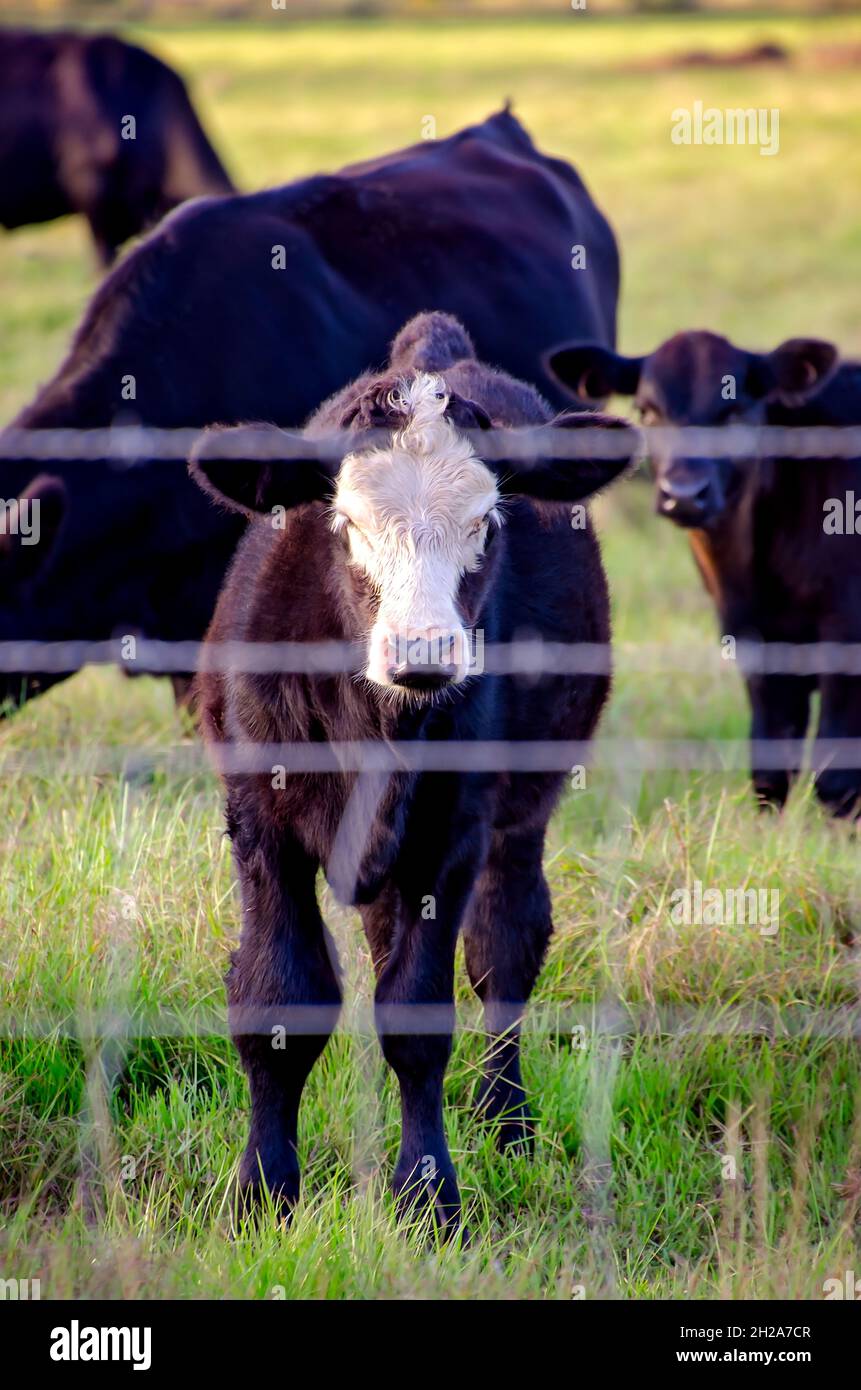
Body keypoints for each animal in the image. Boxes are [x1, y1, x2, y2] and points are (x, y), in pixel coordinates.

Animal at [190, 309, 639, 1223]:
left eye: (486, 523)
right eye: (346, 524)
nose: (423, 654)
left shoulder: (452, 830)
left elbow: (418, 1012)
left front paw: (428, 1195)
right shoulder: (258, 812)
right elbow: (278, 993)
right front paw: (262, 1190)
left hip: (519, 814)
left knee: (506, 947)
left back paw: (507, 1120)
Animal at [548, 328, 861, 811]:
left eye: (734, 411)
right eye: (647, 411)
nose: (684, 494)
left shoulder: (845, 634)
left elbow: (836, 780)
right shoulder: (755, 640)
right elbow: (771, 771)